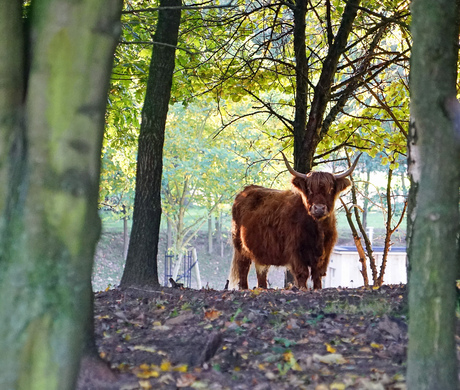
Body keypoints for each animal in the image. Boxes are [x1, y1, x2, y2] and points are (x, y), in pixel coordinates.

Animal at [228, 152, 362, 290]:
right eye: (309, 189)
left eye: (330, 189)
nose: (319, 208)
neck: (318, 230)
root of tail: (246, 190)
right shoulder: (295, 250)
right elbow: (302, 273)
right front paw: (303, 289)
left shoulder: (326, 251)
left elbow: (318, 274)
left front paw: (317, 288)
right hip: (240, 246)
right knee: (243, 268)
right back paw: (244, 288)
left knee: (261, 271)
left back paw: (262, 288)